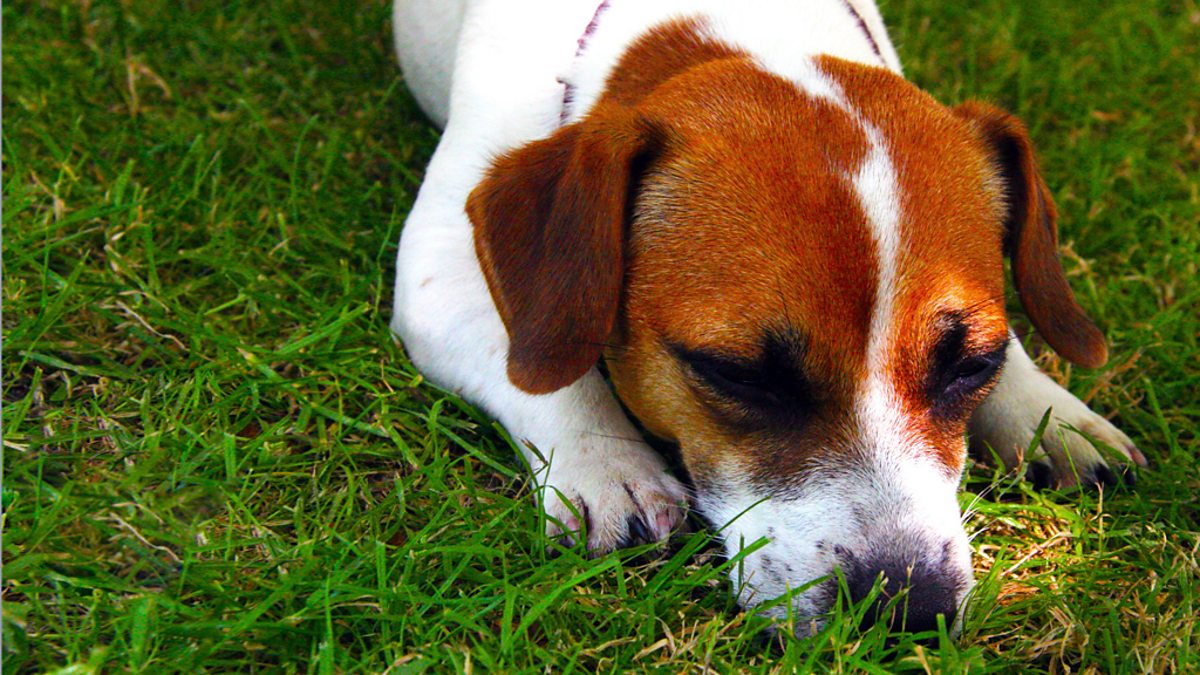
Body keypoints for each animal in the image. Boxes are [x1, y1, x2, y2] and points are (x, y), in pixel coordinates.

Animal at [389, 0, 1146, 636]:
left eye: (974, 365)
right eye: (739, 374)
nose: (907, 609)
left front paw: (1050, 413)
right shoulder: (434, 274)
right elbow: (539, 364)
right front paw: (605, 463)